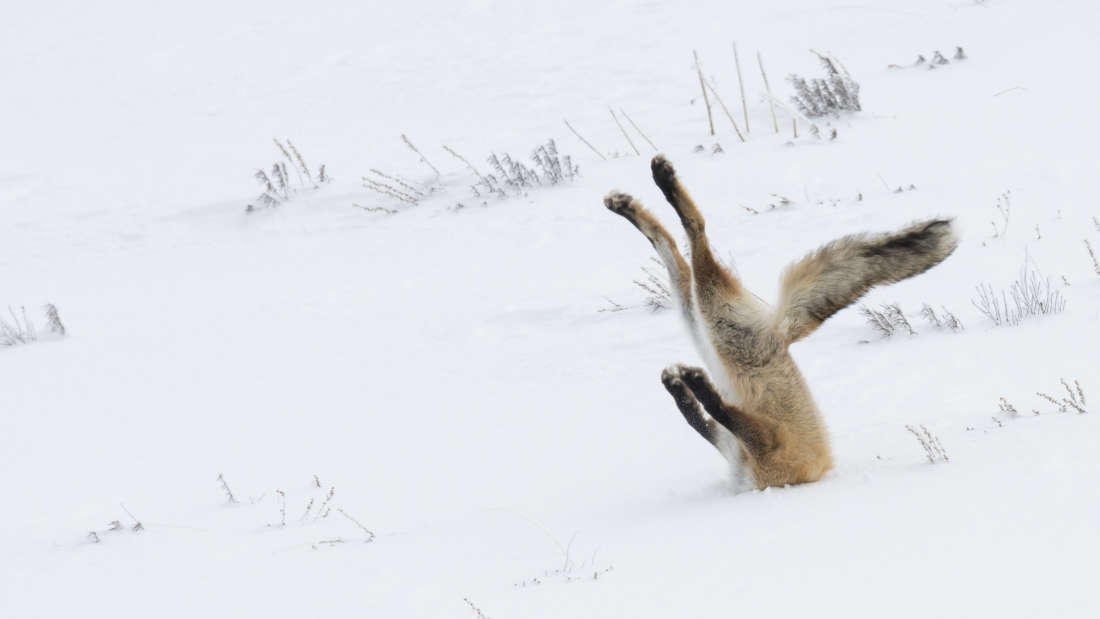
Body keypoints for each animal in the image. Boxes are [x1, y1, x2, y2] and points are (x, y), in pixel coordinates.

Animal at [607, 155, 959, 490]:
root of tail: (781, 332)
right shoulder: (736, 445)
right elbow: (698, 417)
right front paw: (680, 385)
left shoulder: (766, 446)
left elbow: (715, 411)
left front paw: (692, 383)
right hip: (703, 322)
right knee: (670, 246)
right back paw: (630, 203)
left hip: (715, 321)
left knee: (696, 233)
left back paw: (662, 183)